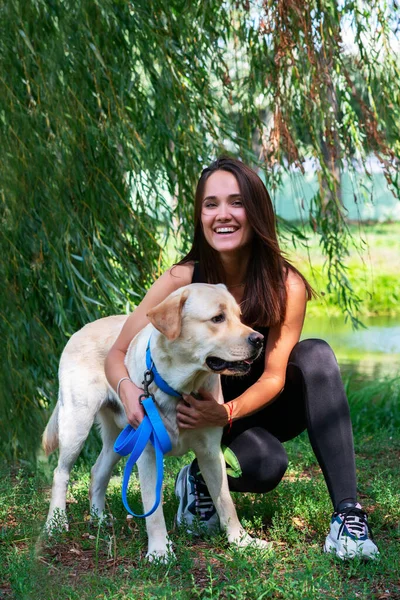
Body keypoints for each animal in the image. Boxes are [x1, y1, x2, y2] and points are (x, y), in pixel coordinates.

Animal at [43, 284, 268, 560]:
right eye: (217, 318)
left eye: (240, 316)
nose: (259, 339)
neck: (179, 388)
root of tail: (79, 330)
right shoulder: (148, 452)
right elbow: (153, 507)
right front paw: (160, 551)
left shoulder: (210, 451)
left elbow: (226, 501)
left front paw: (241, 541)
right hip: (77, 424)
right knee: (60, 473)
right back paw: (55, 523)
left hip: (120, 437)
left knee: (98, 472)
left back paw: (98, 519)